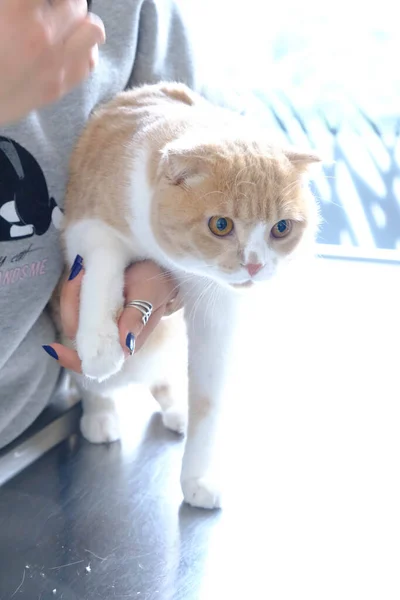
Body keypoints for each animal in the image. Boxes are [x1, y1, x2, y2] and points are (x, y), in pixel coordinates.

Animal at [62, 83, 318, 506]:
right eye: (221, 225)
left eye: (281, 228)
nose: (254, 265)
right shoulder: (86, 227)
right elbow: (102, 269)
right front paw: (100, 346)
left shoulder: (216, 312)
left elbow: (207, 402)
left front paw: (198, 477)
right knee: (93, 386)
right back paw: (99, 413)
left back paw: (175, 411)